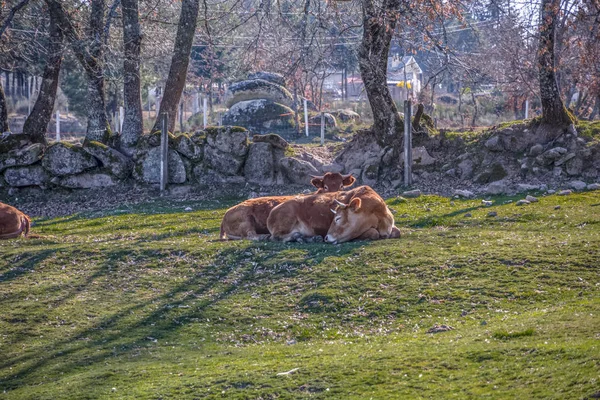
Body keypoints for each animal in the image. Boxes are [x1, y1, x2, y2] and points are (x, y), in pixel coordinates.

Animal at [221, 173, 356, 241]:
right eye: (325, 187)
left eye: (341, 186)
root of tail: (227, 213)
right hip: (245, 218)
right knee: (252, 235)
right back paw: (264, 236)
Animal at [266, 185, 398, 244]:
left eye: (338, 218)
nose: (326, 237)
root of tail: (272, 212)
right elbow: (373, 233)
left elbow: (397, 231)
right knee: (275, 237)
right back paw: (297, 236)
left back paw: (311, 238)